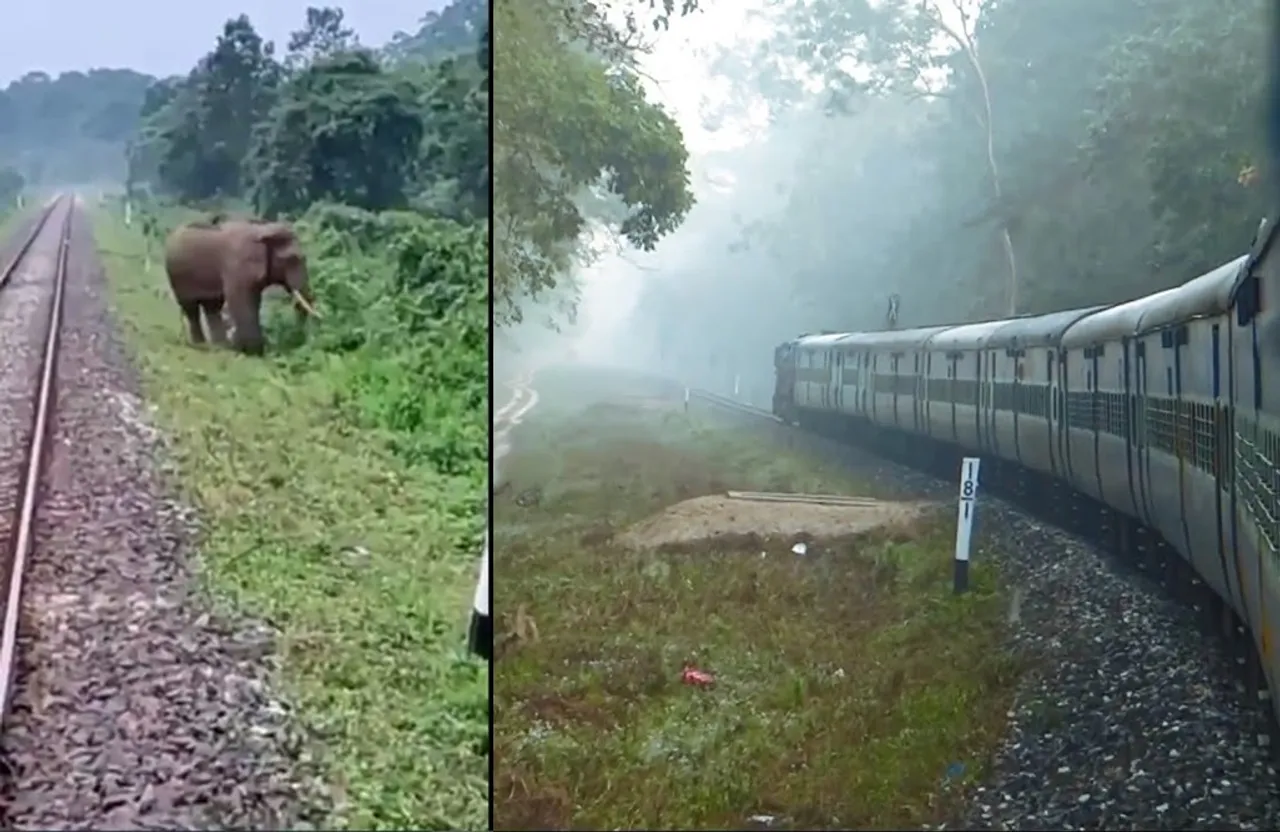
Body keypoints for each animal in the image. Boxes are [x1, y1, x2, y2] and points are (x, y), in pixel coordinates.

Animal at [162, 217, 320, 353]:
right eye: (292, 259)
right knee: (190, 308)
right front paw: (253, 351)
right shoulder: (237, 264)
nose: (298, 340)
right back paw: (201, 345)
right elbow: (241, 299)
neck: (264, 229)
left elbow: (254, 300)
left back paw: (221, 346)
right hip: (176, 276)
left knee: (212, 306)